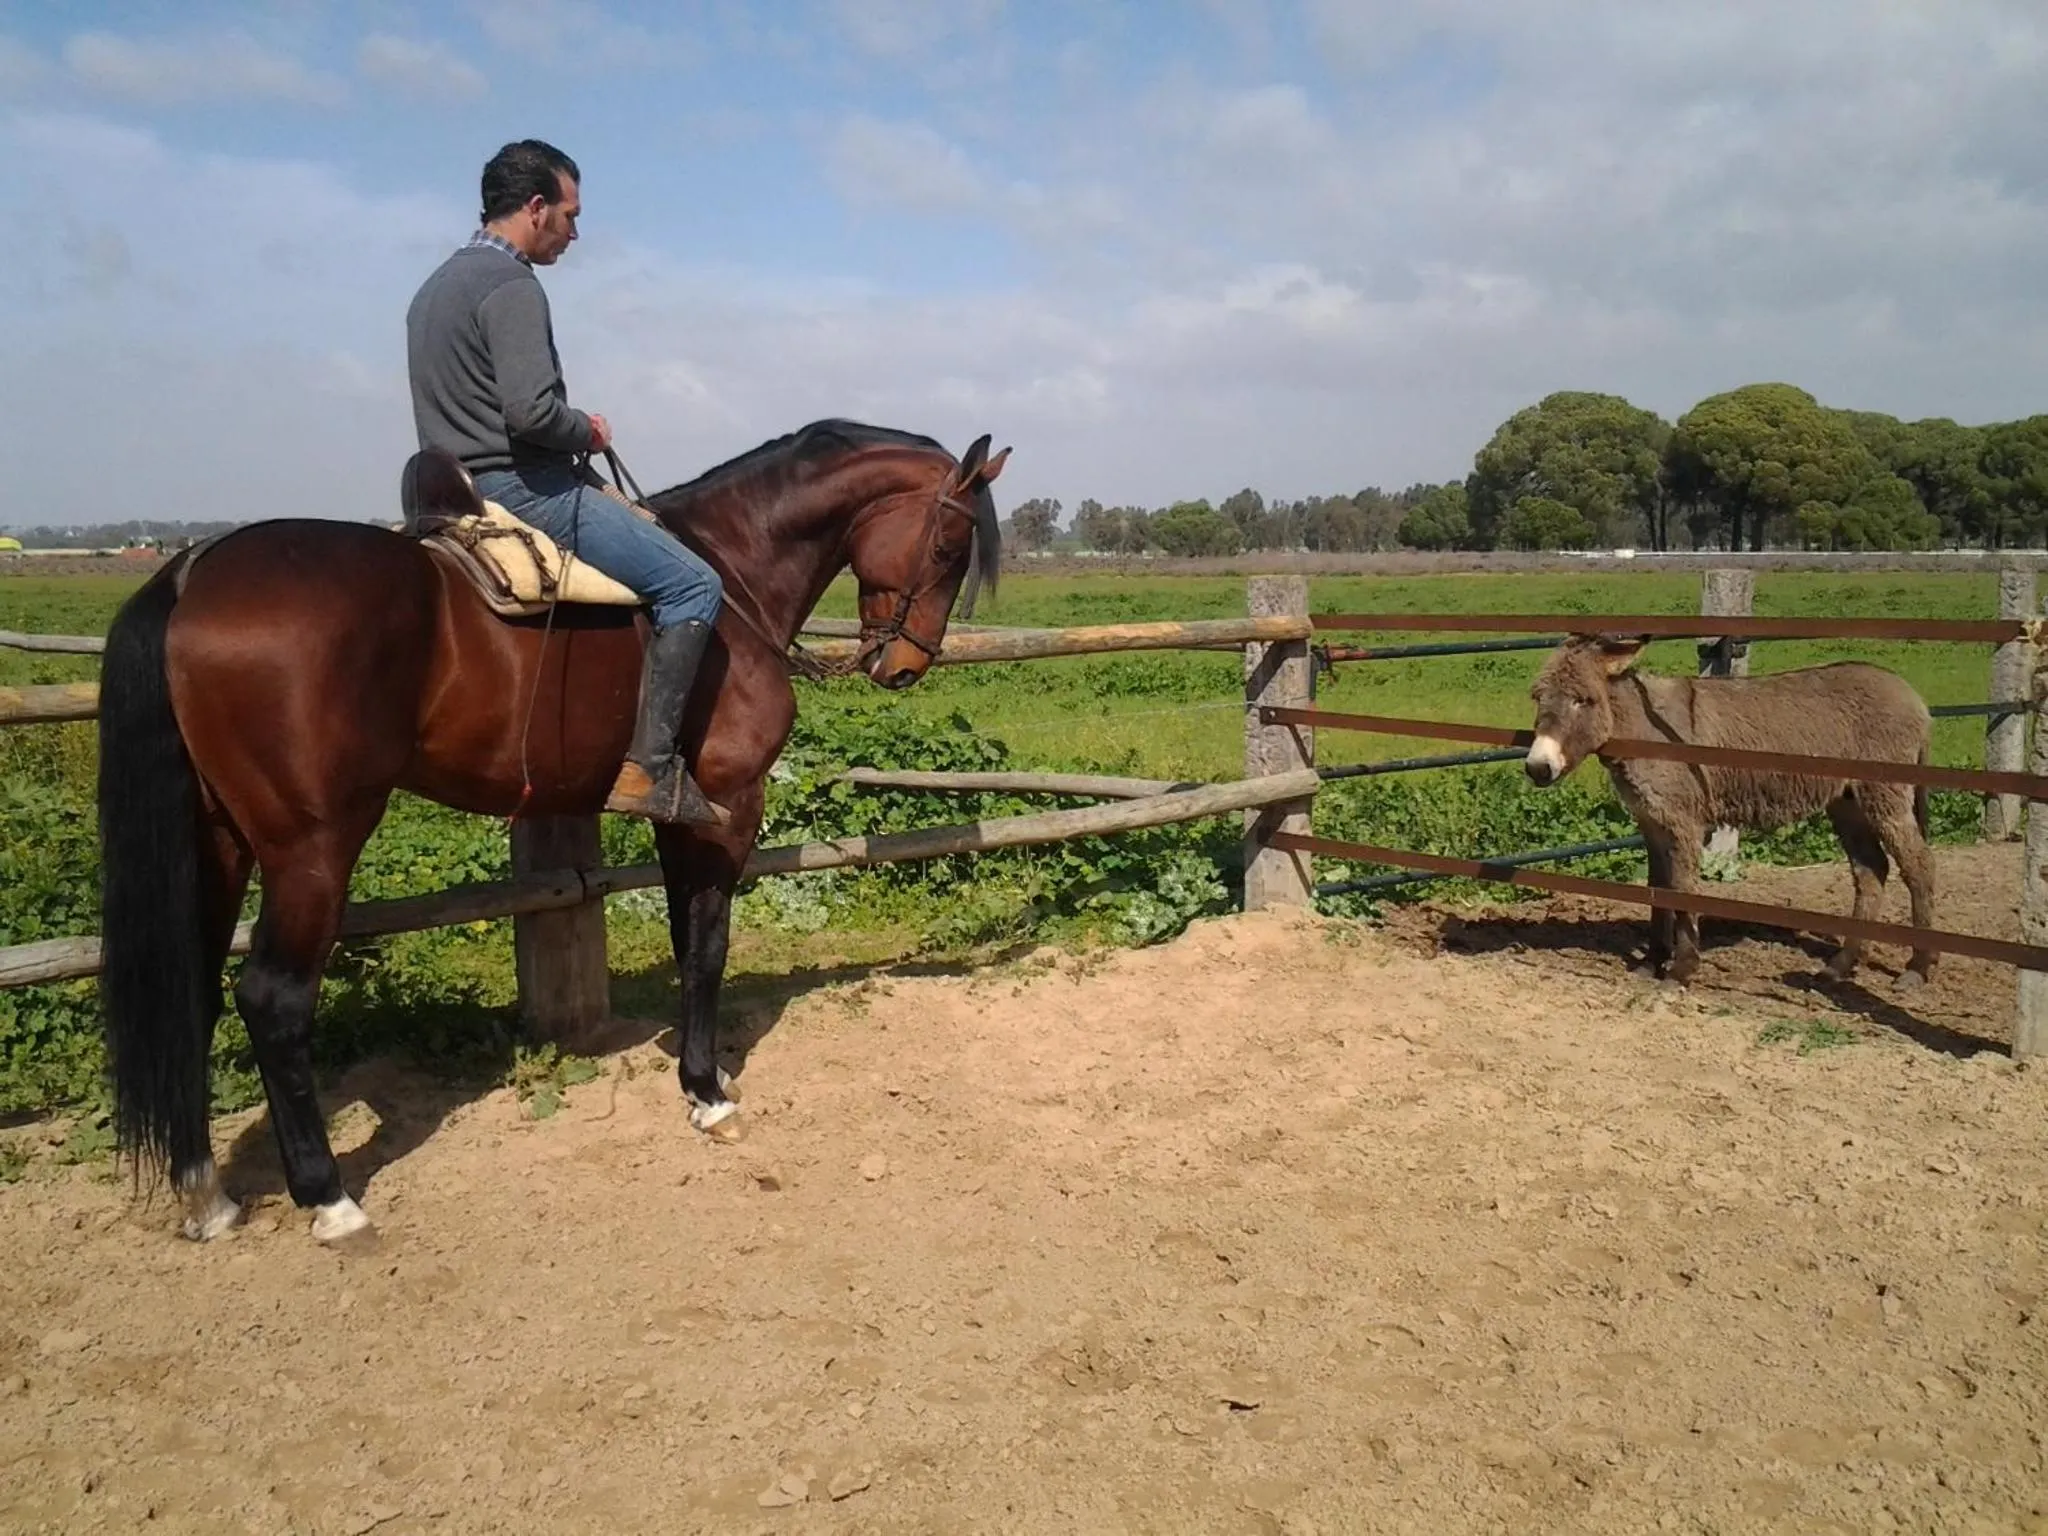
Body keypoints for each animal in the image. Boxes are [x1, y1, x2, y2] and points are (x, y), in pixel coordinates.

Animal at [95, 418, 1008, 1246]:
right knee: (272, 1000)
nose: (907, 665)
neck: (732, 573)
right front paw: (708, 1094)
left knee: (195, 990)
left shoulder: (680, 820)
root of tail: (192, 571)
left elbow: (687, 941)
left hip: (219, 842)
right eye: (950, 543)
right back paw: (330, 1199)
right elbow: (708, 946)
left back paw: (205, 1193)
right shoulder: (727, 807)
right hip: (312, 849)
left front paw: (697, 1077)